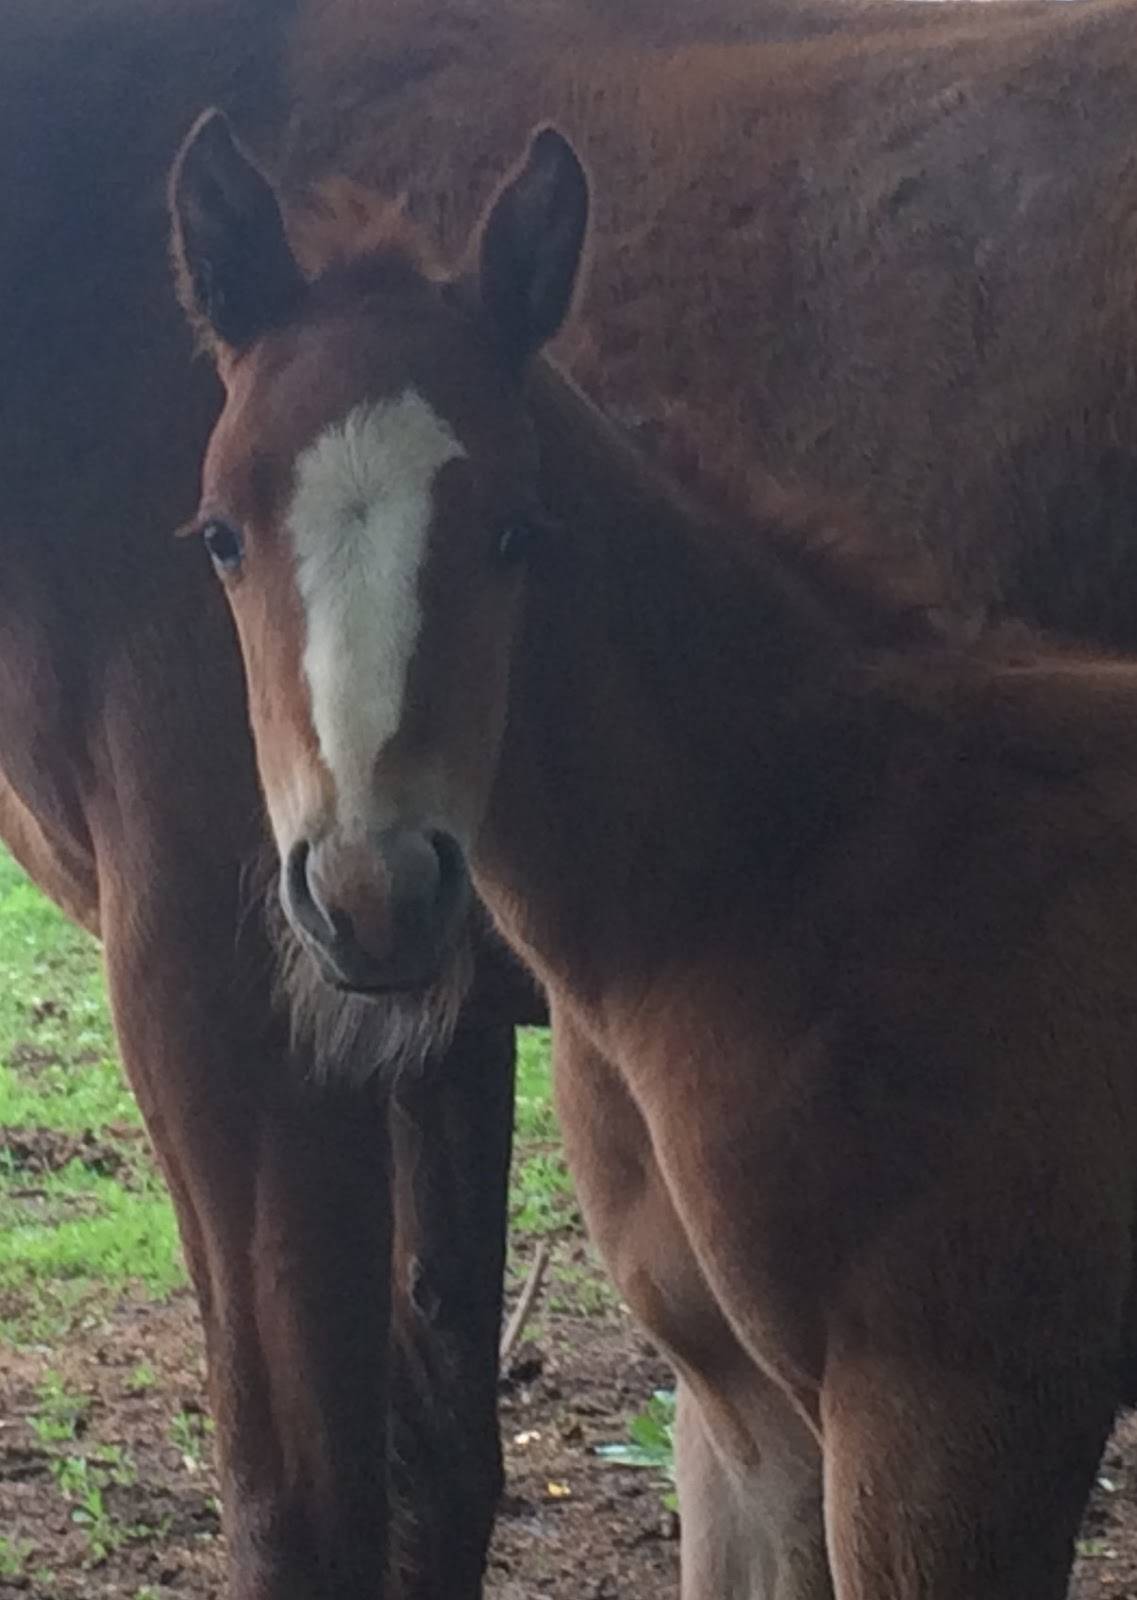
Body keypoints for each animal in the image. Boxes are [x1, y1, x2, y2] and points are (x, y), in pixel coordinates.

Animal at [12, 0, 1137, 1593]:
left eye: (516, 530)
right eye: (216, 533)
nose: (368, 887)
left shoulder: (226, 1001)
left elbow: (298, 1506)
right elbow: (433, 1466)